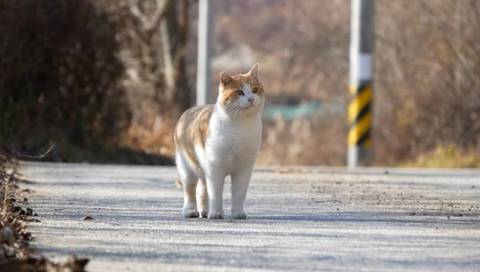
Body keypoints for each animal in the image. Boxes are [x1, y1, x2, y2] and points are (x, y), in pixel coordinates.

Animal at [173, 63, 264, 219]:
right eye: (239, 92)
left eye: (255, 90)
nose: (251, 99)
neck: (239, 127)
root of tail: (189, 111)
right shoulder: (215, 168)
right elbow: (215, 194)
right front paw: (215, 213)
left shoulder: (244, 169)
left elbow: (239, 194)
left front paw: (238, 213)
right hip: (187, 168)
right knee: (190, 190)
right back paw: (191, 211)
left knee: (201, 190)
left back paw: (204, 211)